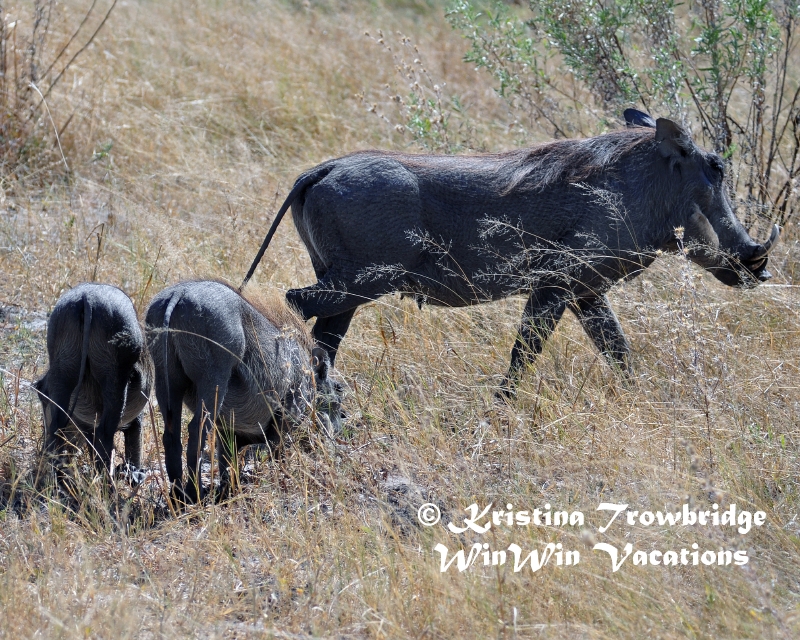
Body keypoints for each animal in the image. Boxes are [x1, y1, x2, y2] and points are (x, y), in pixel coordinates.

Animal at [34, 283, 153, 479]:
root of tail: (87, 297)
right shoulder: (136, 420)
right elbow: (135, 445)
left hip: (63, 368)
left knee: (56, 428)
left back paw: (57, 477)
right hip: (115, 378)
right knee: (105, 435)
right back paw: (107, 483)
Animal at [145, 280, 343, 502]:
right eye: (338, 389)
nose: (336, 439)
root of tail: (178, 293)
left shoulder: (228, 430)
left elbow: (227, 460)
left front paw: (229, 490)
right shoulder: (287, 416)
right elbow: (278, 451)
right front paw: (280, 478)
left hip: (166, 378)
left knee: (171, 435)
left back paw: (178, 497)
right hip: (213, 378)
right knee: (197, 430)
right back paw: (195, 494)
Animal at [243, 111, 779, 393]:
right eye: (716, 167)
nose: (760, 268)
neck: (635, 187)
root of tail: (322, 169)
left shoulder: (588, 291)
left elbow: (618, 351)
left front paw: (641, 398)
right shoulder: (557, 283)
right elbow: (526, 351)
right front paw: (502, 406)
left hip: (348, 285)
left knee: (324, 337)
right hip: (361, 280)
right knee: (293, 303)